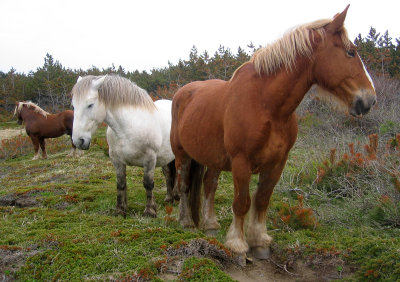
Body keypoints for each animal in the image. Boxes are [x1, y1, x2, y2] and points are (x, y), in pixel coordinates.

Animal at [70, 75, 177, 218]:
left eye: (90, 105)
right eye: (74, 106)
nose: (78, 141)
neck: (129, 127)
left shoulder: (150, 159)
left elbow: (148, 184)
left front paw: (150, 211)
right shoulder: (117, 160)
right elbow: (121, 184)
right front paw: (120, 210)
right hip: (166, 157)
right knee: (168, 175)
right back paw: (169, 198)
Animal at [170, 4, 376, 260]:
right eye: (351, 52)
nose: (369, 99)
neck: (266, 105)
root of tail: (182, 93)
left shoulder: (277, 163)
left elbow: (261, 200)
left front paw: (259, 242)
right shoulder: (241, 162)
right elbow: (242, 202)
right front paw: (238, 244)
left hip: (214, 158)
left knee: (209, 185)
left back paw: (210, 225)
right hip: (182, 155)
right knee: (184, 185)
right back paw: (186, 222)